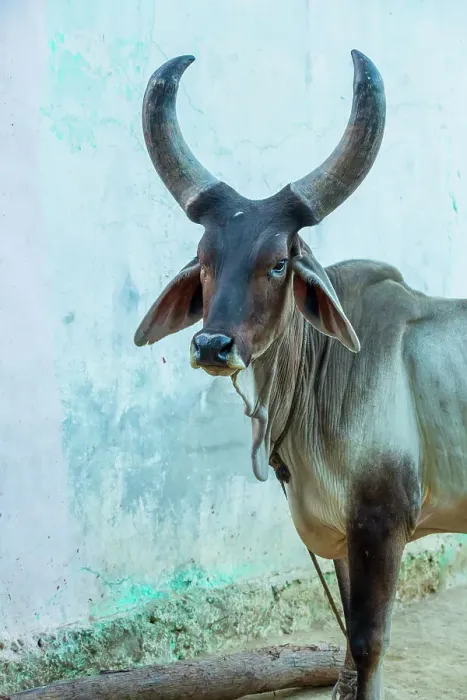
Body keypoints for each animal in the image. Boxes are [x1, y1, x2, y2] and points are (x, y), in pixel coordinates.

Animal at [133, 50, 467, 700]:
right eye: (204, 261)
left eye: (278, 262)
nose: (213, 345)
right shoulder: (343, 540)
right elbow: (349, 659)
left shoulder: (381, 524)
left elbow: (367, 646)